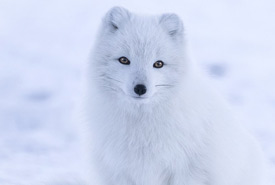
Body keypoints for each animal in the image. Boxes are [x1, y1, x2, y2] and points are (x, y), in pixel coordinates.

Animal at [85, 6, 270, 184]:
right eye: (124, 60)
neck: (142, 125)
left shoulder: (189, 171)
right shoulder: (120, 172)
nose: (140, 89)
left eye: (158, 64)